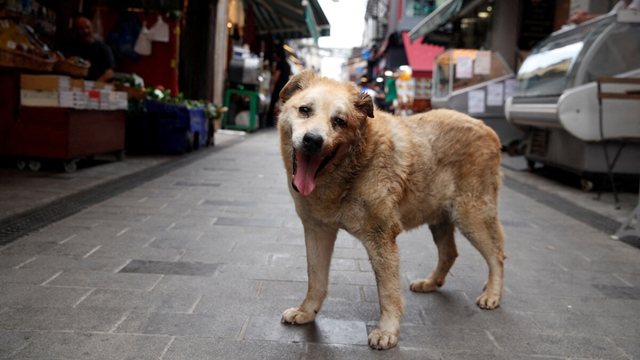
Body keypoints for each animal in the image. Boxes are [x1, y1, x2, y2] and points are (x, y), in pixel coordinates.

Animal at [276, 69, 504, 348]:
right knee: (450, 253)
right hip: (440, 218)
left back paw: (492, 294)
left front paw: (387, 331)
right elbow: (316, 278)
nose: (313, 141)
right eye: (305, 110)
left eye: (339, 121)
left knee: (497, 255)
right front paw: (307, 311)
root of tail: (487, 128)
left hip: (471, 216)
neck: (353, 167)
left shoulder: (381, 237)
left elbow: (388, 292)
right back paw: (431, 283)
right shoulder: (318, 230)